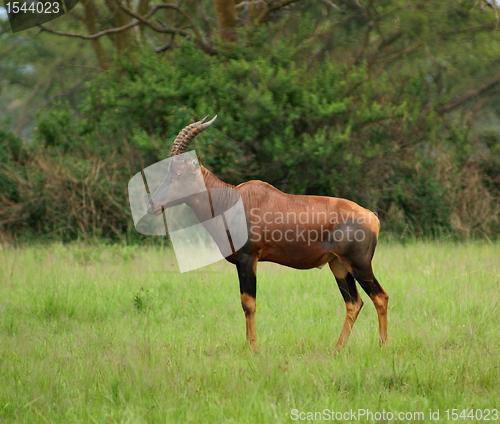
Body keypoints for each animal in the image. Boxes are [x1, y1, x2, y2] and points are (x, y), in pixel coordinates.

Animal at [146, 115, 388, 352]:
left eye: (178, 173)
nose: (152, 206)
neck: (233, 201)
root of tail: (372, 218)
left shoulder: (248, 258)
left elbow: (249, 303)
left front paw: (253, 349)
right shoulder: (239, 262)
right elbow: (243, 302)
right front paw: (248, 346)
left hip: (359, 265)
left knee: (380, 297)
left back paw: (382, 347)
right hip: (338, 265)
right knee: (354, 303)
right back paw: (337, 350)